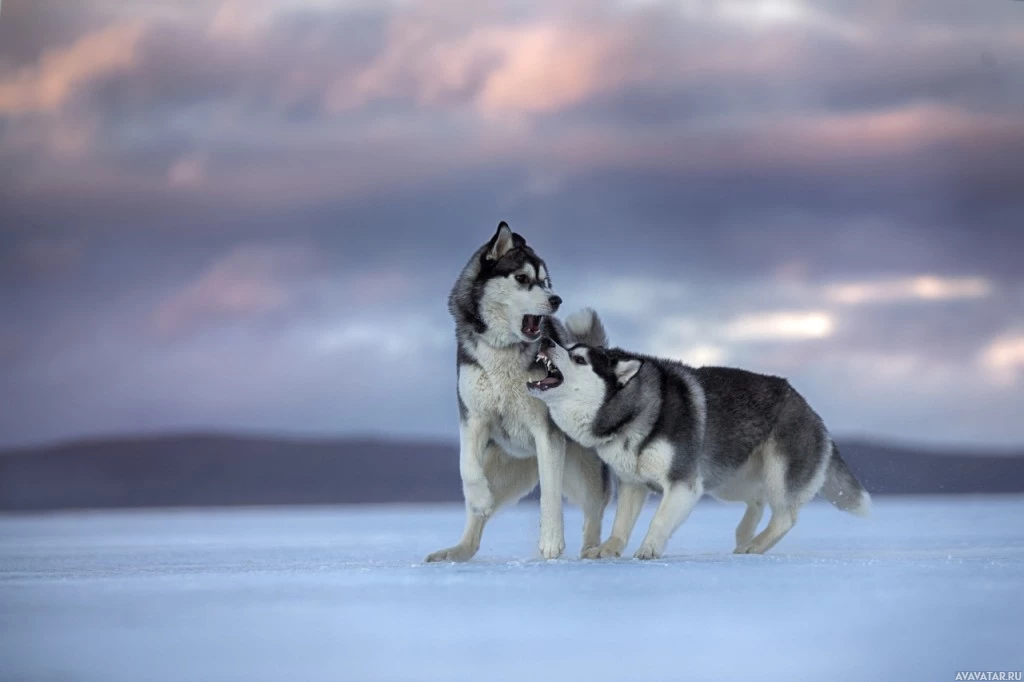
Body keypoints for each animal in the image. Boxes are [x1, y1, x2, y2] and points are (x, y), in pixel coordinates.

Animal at [421, 220, 606, 561]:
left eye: (546, 282)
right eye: (522, 278)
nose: (556, 299)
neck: (503, 352)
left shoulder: (546, 433)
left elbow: (550, 494)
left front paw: (551, 541)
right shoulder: (473, 417)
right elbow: (466, 466)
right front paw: (479, 498)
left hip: (581, 468)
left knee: (593, 512)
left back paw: (593, 550)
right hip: (502, 468)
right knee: (476, 527)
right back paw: (456, 550)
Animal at [528, 337, 872, 557]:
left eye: (579, 359)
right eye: (569, 347)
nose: (546, 340)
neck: (630, 414)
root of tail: (810, 410)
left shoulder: (684, 483)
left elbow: (659, 520)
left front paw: (649, 548)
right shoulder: (633, 483)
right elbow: (620, 523)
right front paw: (609, 549)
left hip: (776, 472)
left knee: (785, 517)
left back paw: (755, 545)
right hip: (726, 480)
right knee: (757, 502)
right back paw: (744, 535)